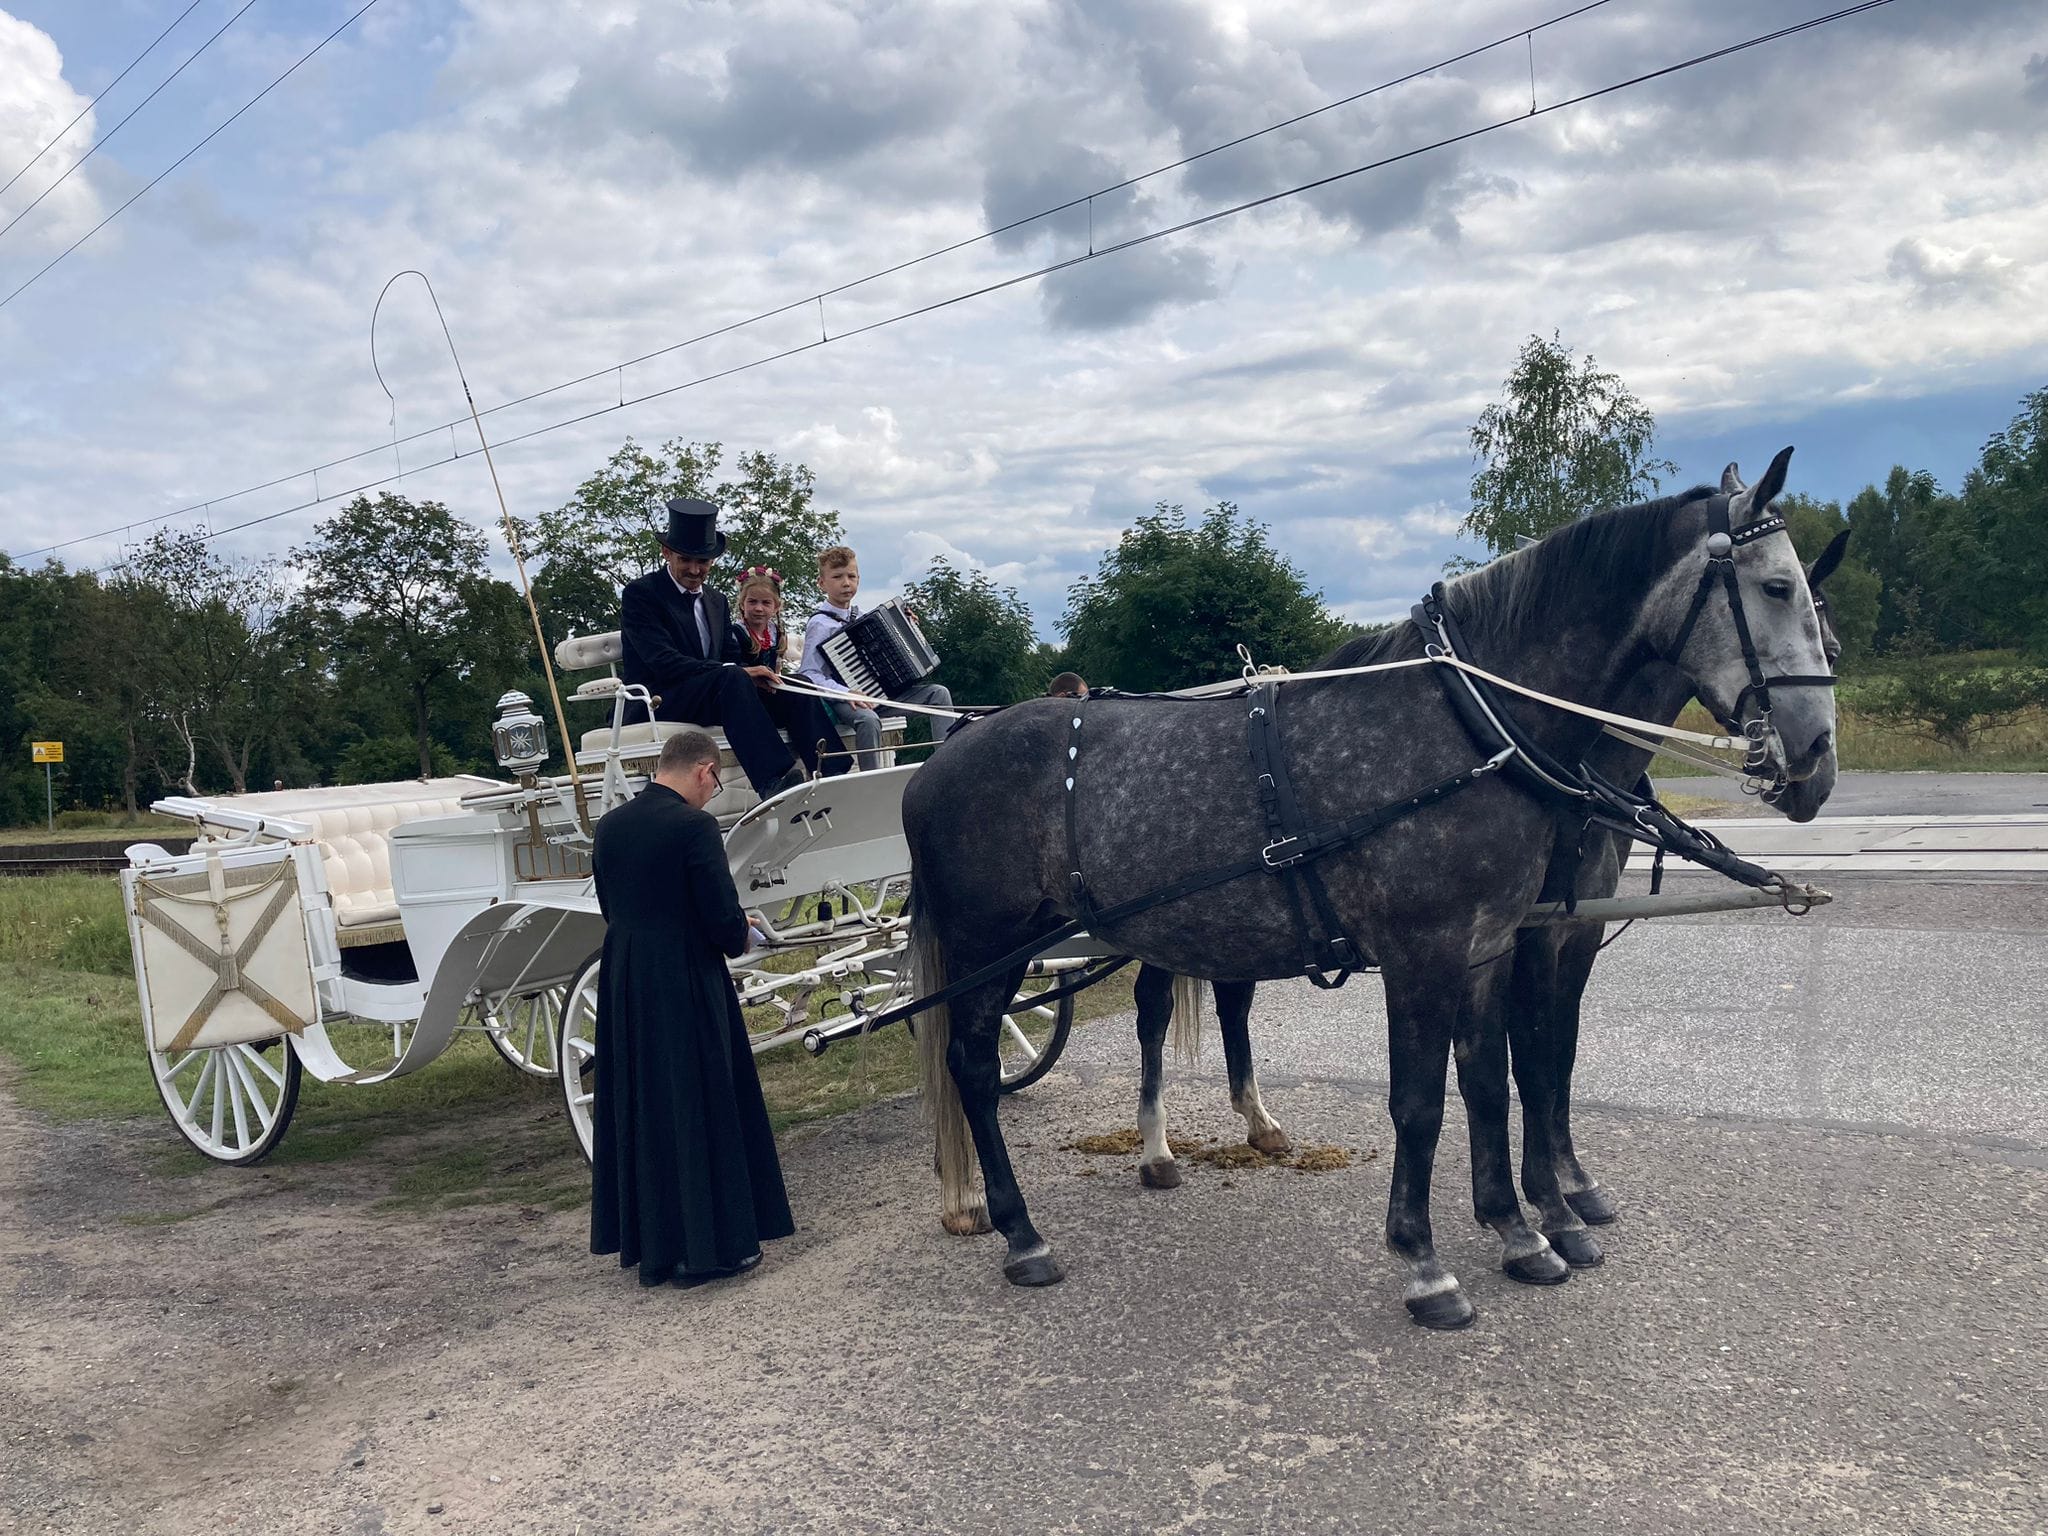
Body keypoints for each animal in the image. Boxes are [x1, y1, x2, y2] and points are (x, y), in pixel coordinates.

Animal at [903, 448, 1836, 1327]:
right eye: (1778, 587)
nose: (1815, 758)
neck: (1468, 725)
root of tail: (938, 761)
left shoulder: (1491, 945)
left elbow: (1493, 1079)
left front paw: (1520, 1230)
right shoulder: (1429, 950)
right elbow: (1425, 1101)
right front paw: (1428, 1264)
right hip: (990, 946)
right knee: (974, 1067)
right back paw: (1021, 1231)